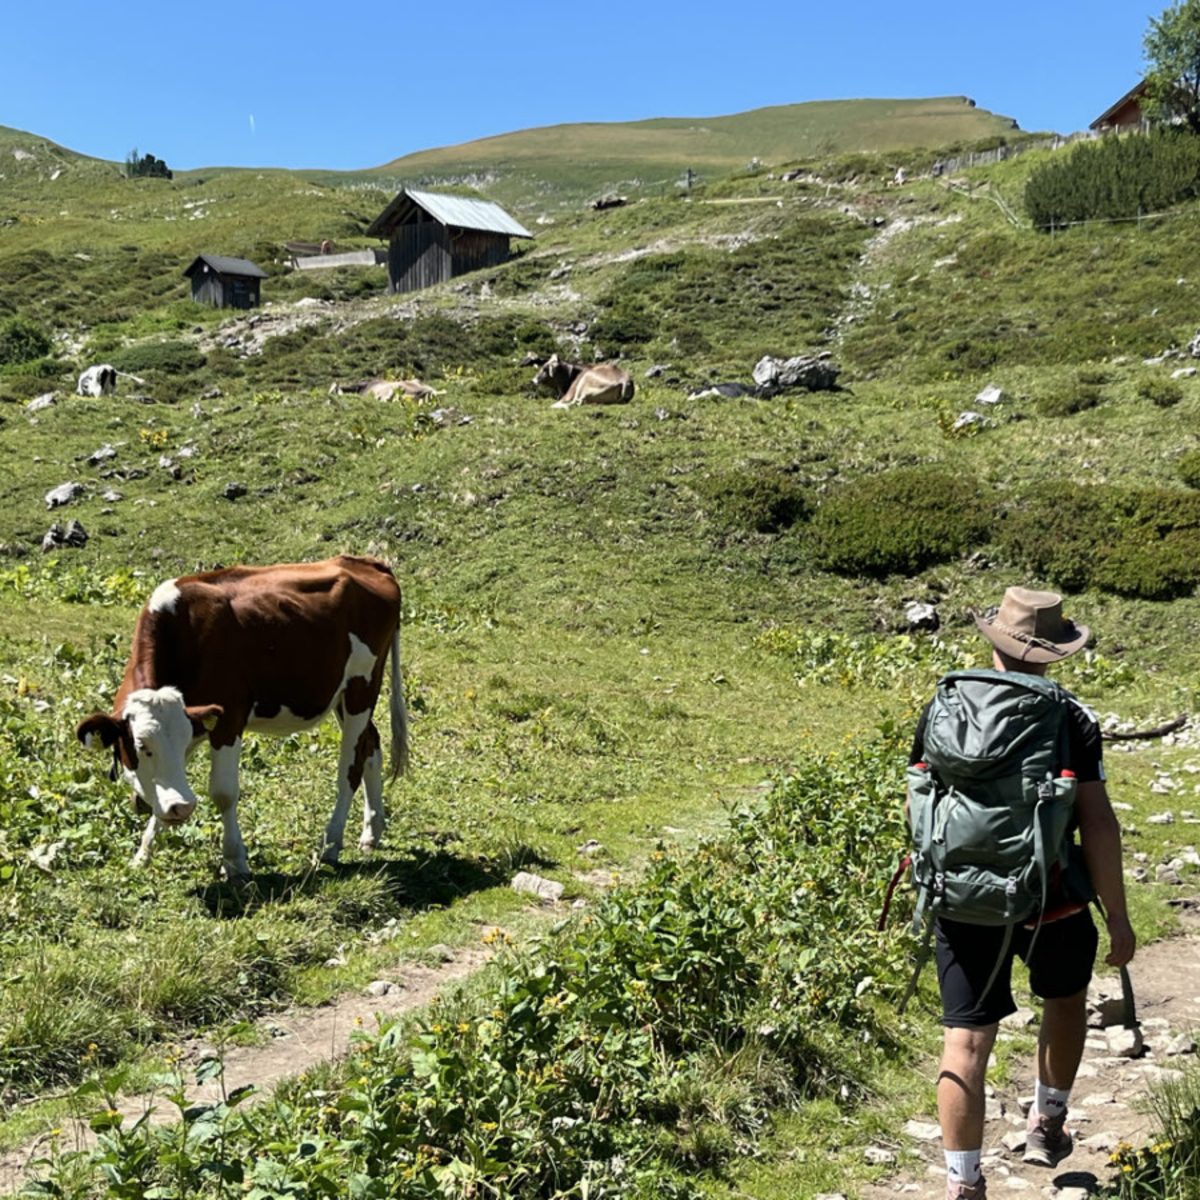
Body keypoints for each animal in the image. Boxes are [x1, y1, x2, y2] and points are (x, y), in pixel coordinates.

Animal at [76, 555, 408, 880]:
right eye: (142, 746)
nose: (182, 807)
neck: (184, 631)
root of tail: (364, 561)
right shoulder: (196, 718)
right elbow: (169, 781)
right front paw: (143, 854)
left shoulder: (229, 717)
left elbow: (223, 792)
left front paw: (235, 861)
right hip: (340, 694)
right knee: (371, 745)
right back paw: (372, 832)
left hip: (361, 687)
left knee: (350, 768)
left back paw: (330, 844)